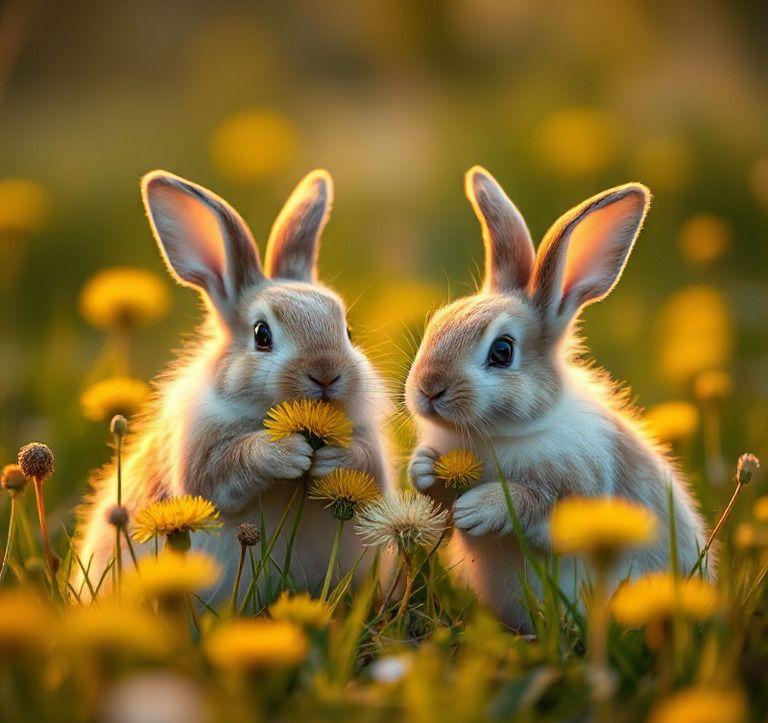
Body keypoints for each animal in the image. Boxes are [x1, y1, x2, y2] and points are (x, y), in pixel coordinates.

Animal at [75, 170, 392, 604]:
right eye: (262, 335)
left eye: (347, 331)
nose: (326, 374)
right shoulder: (198, 452)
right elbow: (221, 469)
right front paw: (286, 453)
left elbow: (369, 467)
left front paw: (333, 458)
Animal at [404, 167, 712, 632]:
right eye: (437, 323)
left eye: (502, 351)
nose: (428, 389)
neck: (503, 434)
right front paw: (422, 468)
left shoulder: (579, 490)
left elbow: (533, 504)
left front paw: (478, 509)